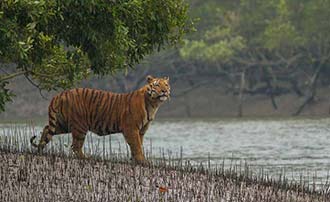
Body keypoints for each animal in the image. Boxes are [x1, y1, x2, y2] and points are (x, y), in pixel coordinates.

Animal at [30, 75, 170, 163]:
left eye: (166, 85)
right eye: (157, 85)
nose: (164, 91)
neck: (153, 104)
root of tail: (60, 94)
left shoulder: (141, 130)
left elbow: (138, 145)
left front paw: (135, 160)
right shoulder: (131, 128)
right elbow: (136, 146)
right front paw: (142, 161)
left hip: (63, 124)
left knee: (47, 128)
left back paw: (40, 149)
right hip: (80, 126)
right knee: (75, 146)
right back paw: (86, 158)